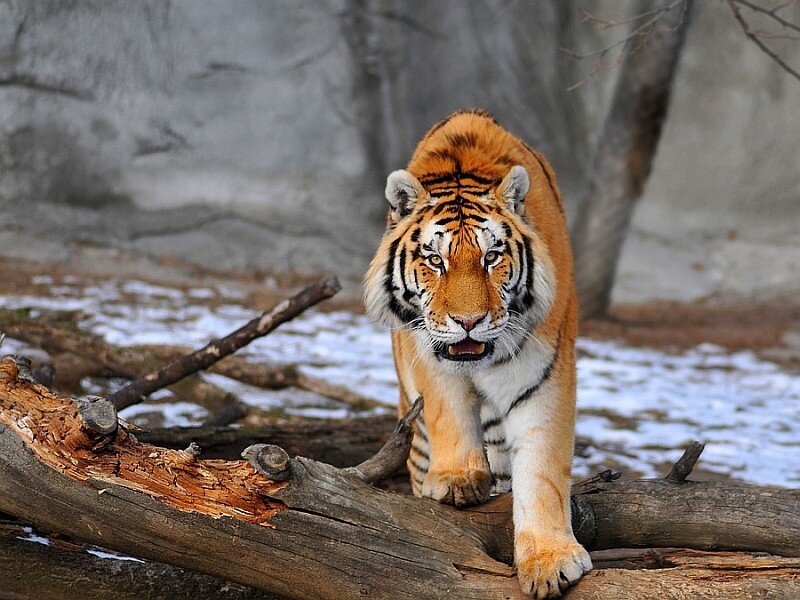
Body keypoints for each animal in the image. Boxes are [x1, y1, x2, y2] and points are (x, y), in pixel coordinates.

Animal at [364, 109, 591, 598]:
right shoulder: (429, 356)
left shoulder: (545, 376)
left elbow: (542, 469)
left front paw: (550, 561)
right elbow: (448, 410)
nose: (468, 320)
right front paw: (457, 480)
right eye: (435, 260)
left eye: (491, 258)